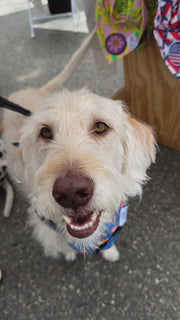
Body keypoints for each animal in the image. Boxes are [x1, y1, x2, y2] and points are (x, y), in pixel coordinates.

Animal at [2, 28, 155, 262]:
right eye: (45, 132)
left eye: (100, 127)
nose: (71, 192)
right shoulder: (47, 228)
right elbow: (63, 244)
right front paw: (69, 254)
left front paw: (110, 251)